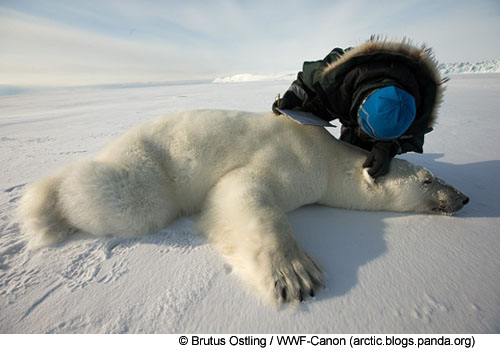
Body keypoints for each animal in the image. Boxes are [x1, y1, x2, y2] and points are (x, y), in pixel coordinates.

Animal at [16, 110, 468, 304]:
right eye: (426, 180)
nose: (462, 198)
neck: (326, 157)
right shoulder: (287, 159)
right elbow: (244, 194)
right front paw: (296, 276)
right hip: (148, 167)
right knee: (125, 198)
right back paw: (46, 208)